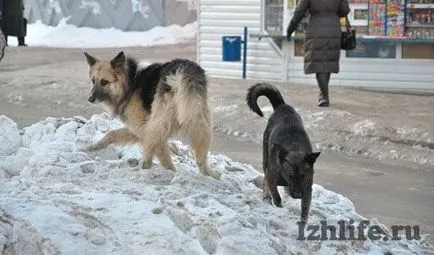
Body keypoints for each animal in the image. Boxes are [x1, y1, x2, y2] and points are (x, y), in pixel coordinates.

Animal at [83, 51, 220, 179]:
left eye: (104, 82)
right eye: (93, 81)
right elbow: (112, 134)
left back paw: (146, 168)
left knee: (155, 151)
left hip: (158, 122)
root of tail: (181, 68)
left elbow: (162, 154)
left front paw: (170, 171)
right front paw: (93, 147)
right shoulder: (137, 130)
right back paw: (210, 174)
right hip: (199, 120)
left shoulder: (143, 127)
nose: (90, 99)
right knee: (201, 158)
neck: (131, 83)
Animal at [246, 83, 320, 221]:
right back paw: (266, 198)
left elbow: (305, 208)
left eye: (303, 176)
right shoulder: (271, 176)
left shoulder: (308, 187)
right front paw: (277, 206)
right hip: (265, 157)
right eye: (290, 175)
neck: (294, 147)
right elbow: (276, 195)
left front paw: (303, 221)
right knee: (265, 180)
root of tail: (283, 106)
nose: (297, 195)